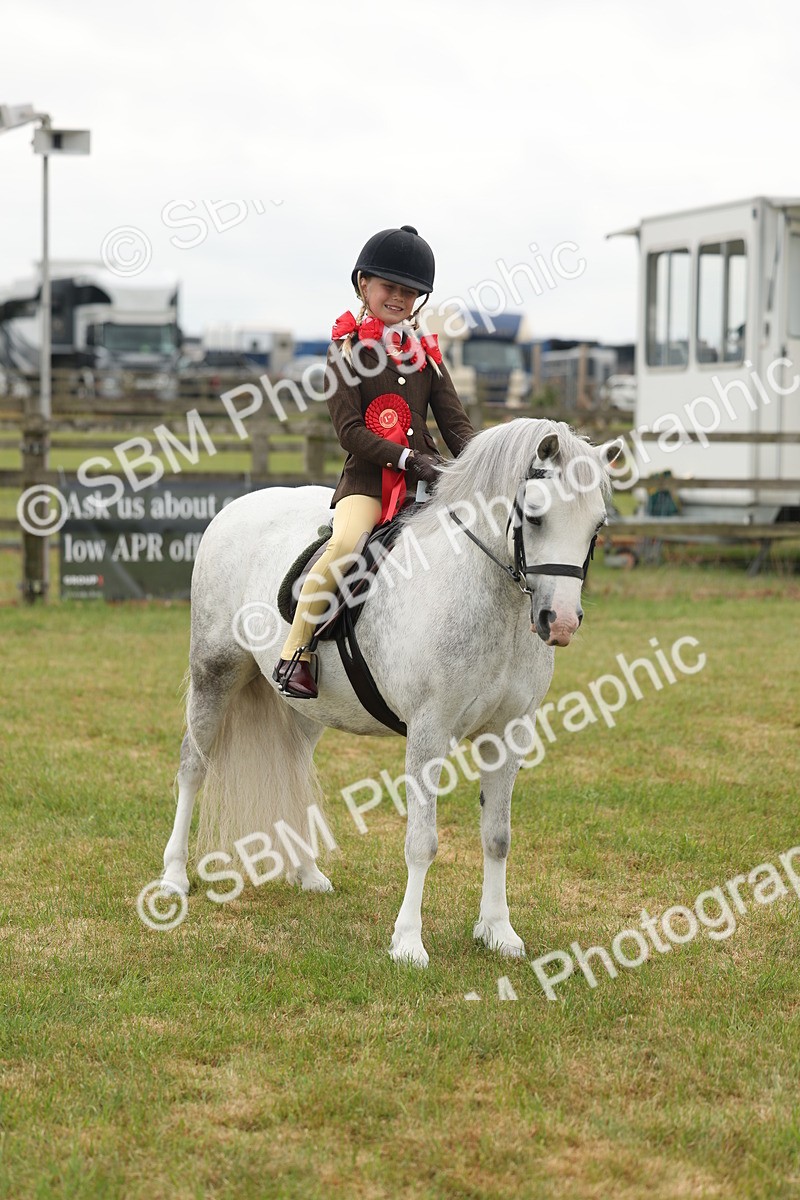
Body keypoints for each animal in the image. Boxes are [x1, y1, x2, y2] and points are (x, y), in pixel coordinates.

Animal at [161, 418, 622, 967]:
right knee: (192, 765)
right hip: (214, 672)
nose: (562, 622)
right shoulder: (428, 731)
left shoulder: (509, 733)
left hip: (306, 707)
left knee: (293, 769)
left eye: (596, 526)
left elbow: (498, 836)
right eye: (535, 516)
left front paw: (497, 931)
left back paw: (307, 873)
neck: (492, 600)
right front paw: (407, 942)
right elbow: (422, 842)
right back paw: (173, 877)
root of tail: (236, 508)